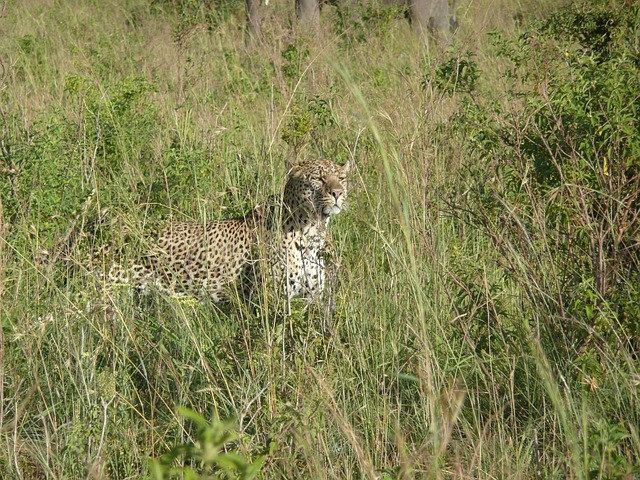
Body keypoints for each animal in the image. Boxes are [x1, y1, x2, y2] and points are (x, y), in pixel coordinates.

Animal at [108, 159, 352, 302]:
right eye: (318, 178)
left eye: (341, 178)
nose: (337, 193)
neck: (312, 231)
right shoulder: (271, 301)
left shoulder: (313, 299)